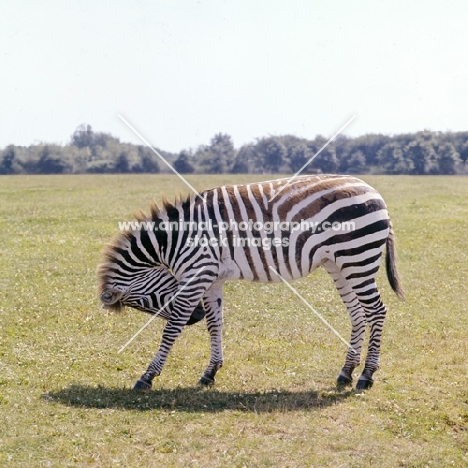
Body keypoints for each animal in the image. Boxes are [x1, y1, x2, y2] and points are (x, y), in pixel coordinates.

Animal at [98, 174, 402, 390]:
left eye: (142, 302)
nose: (195, 317)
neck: (174, 241)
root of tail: (374, 192)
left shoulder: (197, 274)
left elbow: (172, 328)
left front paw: (147, 376)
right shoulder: (212, 278)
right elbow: (215, 324)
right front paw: (210, 372)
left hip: (358, 257)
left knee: (376, 311)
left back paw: (366, 375)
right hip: (339, 264)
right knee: (358, 314)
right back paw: (346, 372)